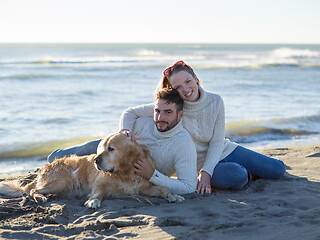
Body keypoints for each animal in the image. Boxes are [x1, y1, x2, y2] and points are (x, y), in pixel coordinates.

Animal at [0, 132, 184, 209]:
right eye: (101, 148)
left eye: (111, 149)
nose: (96, 160)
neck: (124, 174)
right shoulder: (99, 183)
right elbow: (97, 192)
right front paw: (93, 201)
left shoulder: (143, 187)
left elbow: (163, 188)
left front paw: (173, 195)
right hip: (63, 180)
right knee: (32, 191)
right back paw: (40, 197)